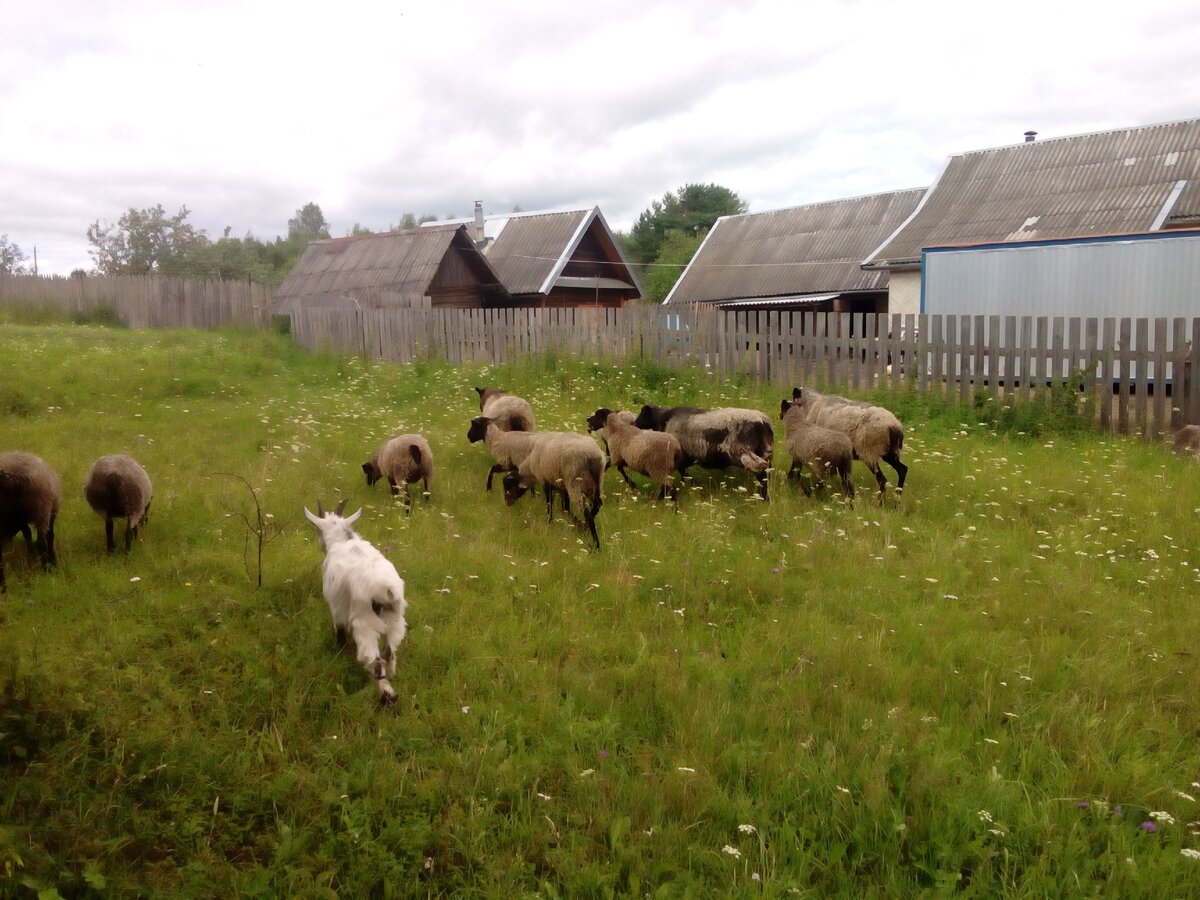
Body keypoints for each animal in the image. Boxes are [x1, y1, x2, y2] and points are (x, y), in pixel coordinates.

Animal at [0, 451, 61, 592]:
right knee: (41, 542)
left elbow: (27, 533)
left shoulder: (19, 518)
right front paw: (51, 561)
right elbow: (48, 536)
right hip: (42, 508)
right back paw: (46, 571)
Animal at [304, 501, 408, 705]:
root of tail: (385, 588)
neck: (342, 541)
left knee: (375, 662)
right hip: (396, 621)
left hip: (365, 621)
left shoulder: (337, 608)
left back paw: (387, 696)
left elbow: (340, 630)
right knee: (389, 652)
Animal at [633, 408, 772, 501]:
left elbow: (681, 474)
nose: (634, 423)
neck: (664, 420)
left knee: (760, 469)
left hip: (742, 452)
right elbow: (683, 474)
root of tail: (762, 422)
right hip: (765, 451)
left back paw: (762, 497)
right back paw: (764, 497)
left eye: (642, 413)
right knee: (766, 473)